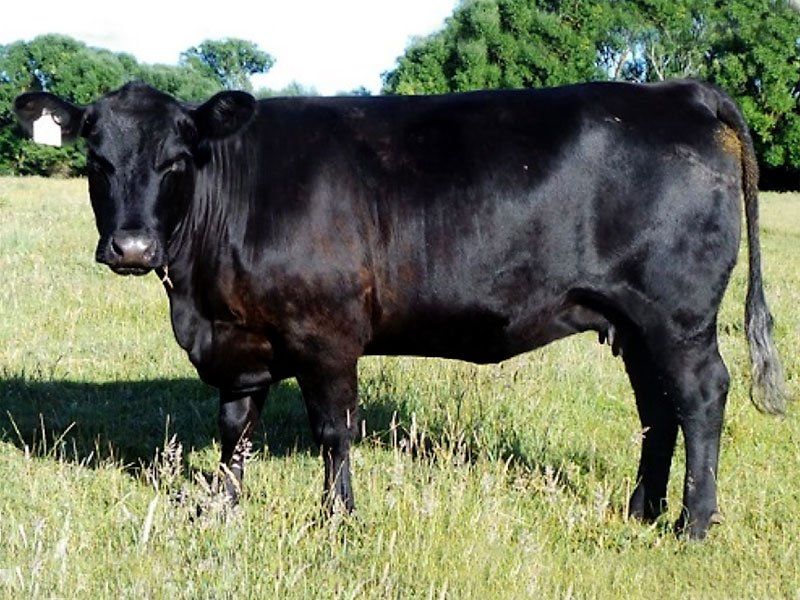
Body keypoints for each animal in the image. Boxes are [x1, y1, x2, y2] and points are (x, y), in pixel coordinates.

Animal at [15, 79, 786, 539]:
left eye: (177, 159)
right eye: (96, 159)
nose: (132, 246)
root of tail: (678, 91)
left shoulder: (326, 334)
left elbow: (333, 431)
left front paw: (337, 520)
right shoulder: (241, 341)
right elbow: (235, 431)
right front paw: (222, 508)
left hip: (678, 316)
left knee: (701, 397)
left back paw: (692, 524)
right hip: (632, 320)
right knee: (657, 408)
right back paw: (640, 510)